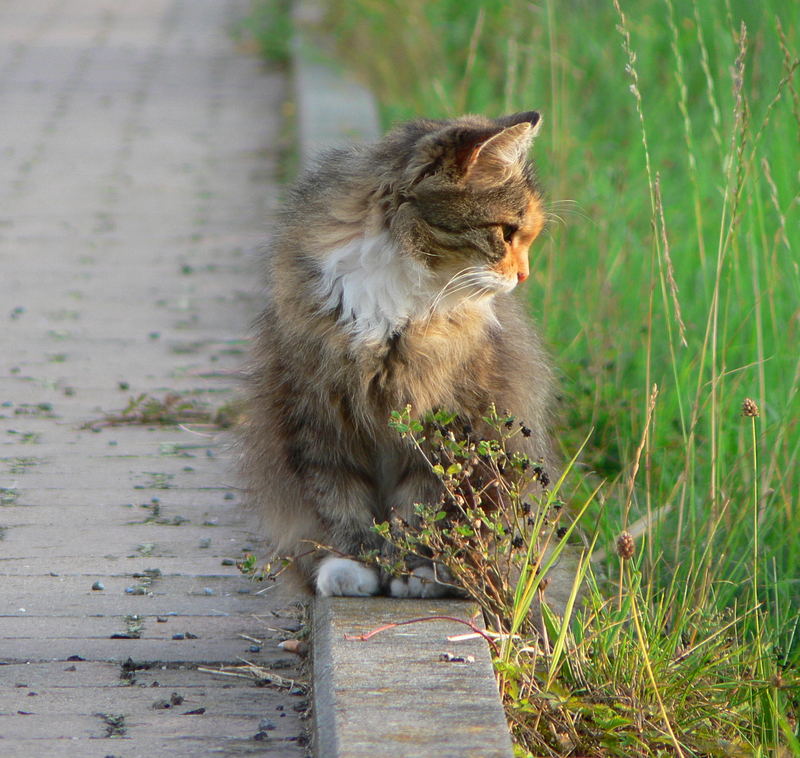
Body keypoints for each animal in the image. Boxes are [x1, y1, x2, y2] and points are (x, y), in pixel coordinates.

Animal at [241, 110, 560, 604]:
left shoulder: (443, 421)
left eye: (524, 238)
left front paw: (411, 571)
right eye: (506, 233)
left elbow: (421, 509)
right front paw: (355, 567)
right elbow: (340, 501)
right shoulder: (320, 411)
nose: (523, 275)